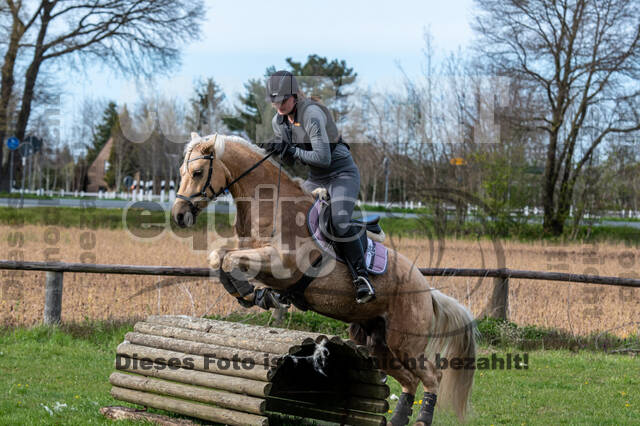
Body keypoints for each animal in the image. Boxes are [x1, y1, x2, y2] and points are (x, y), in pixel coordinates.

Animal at [170, 133, 476, 426]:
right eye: (181, 172)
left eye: (197, 172)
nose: (178, 216)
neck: (269, 205)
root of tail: (428, 291)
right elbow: (219, 257)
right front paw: (254, 295)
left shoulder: (281, 263)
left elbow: (228, 260)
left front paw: (254, 294)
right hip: (378, 344)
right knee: (410, 380)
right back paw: (399, 420)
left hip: (406, 340)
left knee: (432, 376)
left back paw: (423, 419)